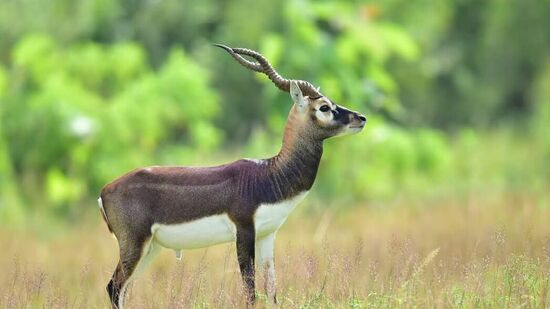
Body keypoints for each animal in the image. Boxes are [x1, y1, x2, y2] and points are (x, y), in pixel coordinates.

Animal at [99, 44, 366, 306]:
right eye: (324, 107)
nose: (361, 118)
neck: (268, 174)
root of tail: (104, 191)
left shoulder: (267, 235)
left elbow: (272, 292)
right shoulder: (244, 232)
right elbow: (250, 292)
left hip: (151, 248)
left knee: (124, 290)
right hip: (135, 245)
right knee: (113, 287)